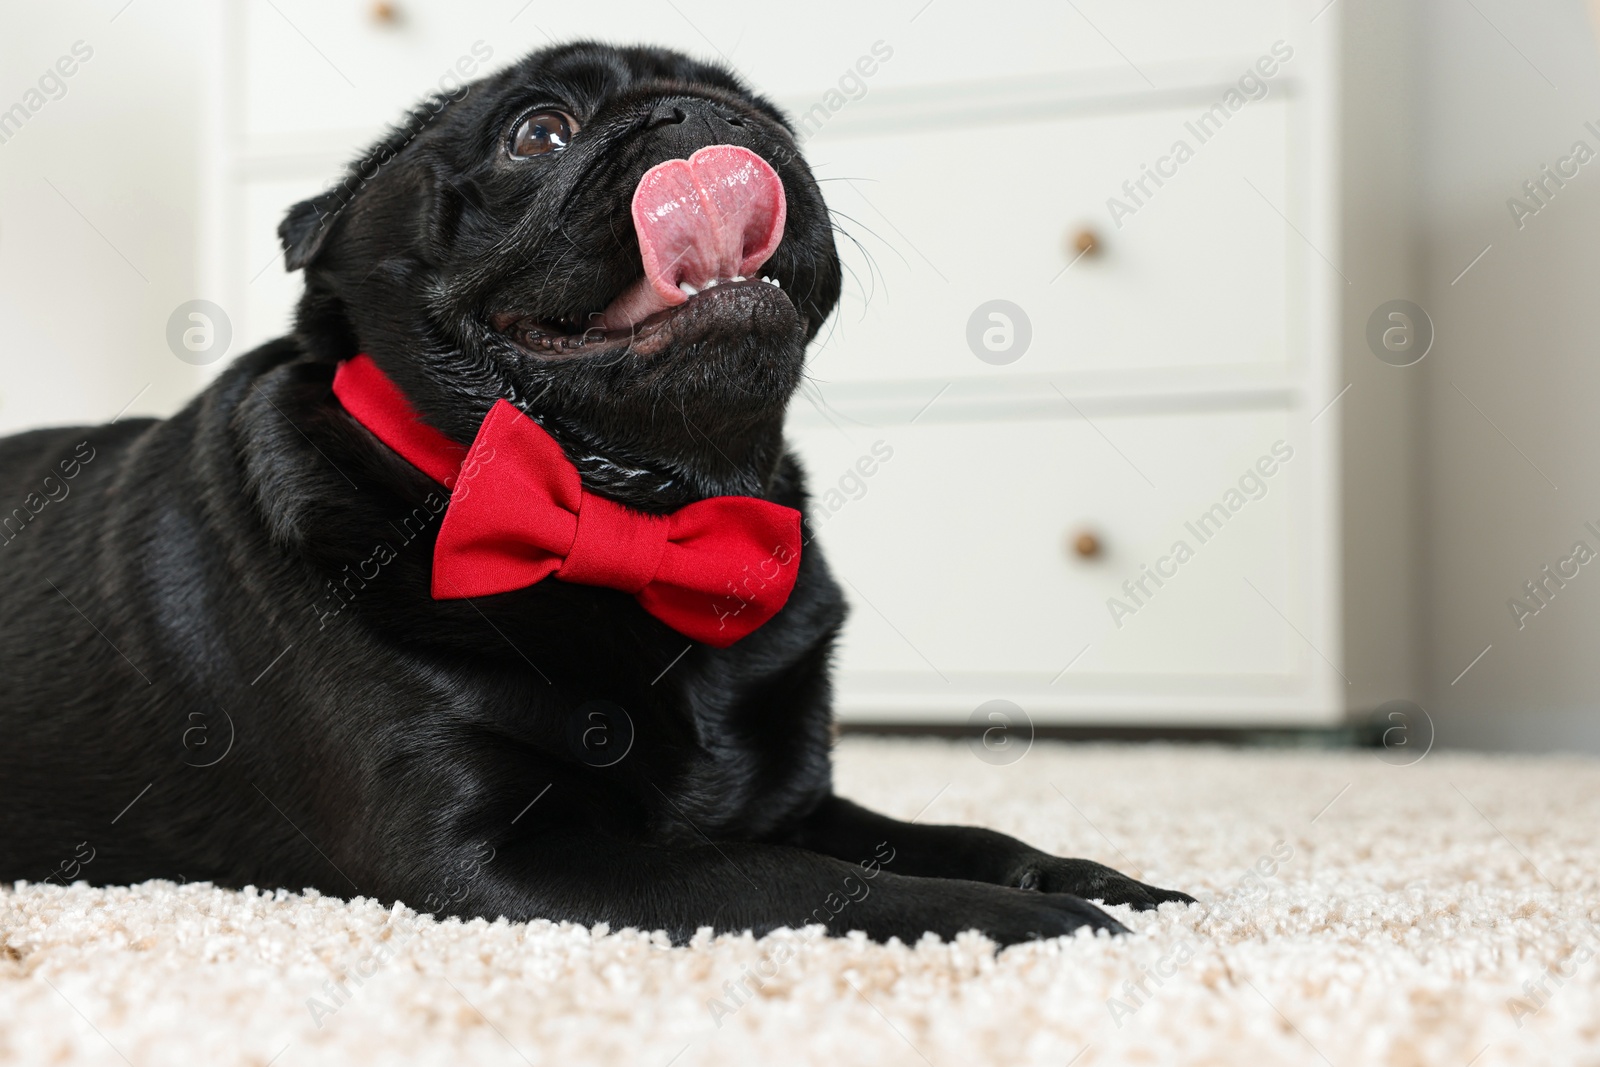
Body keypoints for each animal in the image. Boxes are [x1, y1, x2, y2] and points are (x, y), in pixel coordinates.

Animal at [0, 41, 1190, 947]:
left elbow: (956, 834)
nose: (702, 115)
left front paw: (1091, 877)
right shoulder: (497, 857)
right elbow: (787, 876)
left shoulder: (802, 800)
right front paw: (1017, 919)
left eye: (767, 112)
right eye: (539, 134)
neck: (645, 513)